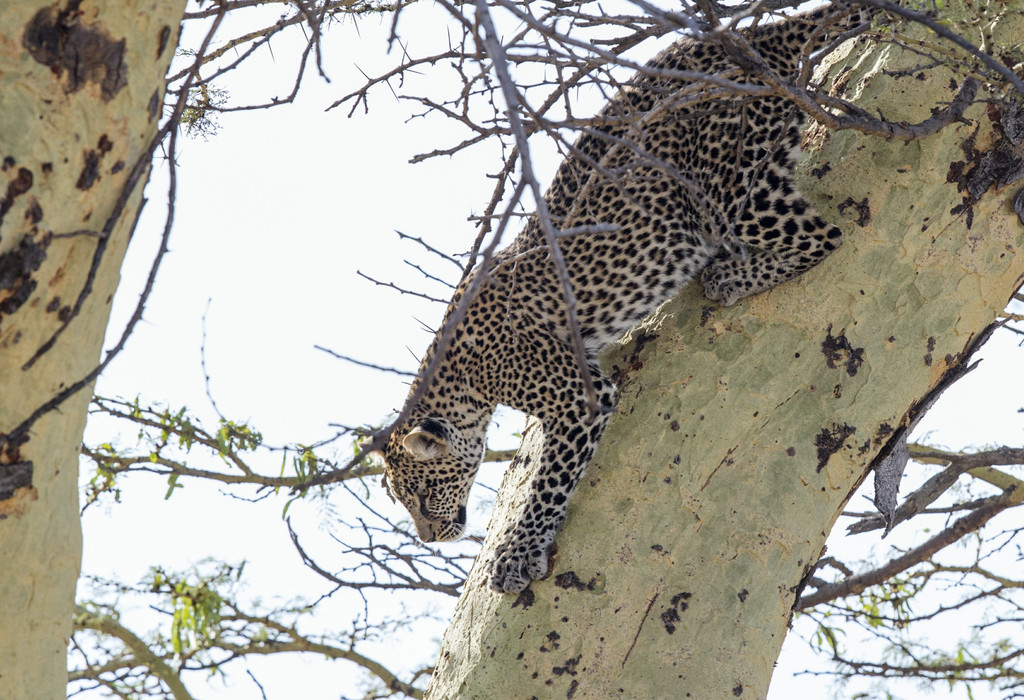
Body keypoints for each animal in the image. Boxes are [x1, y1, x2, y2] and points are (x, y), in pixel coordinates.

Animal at [374, 2, 864, 593]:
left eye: (423, 495)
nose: (430, 537)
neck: (461, 382)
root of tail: (752, 35)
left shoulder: (576, 400)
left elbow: (547, 485)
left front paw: (516, 555)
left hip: (723, 193)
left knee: (825, 236)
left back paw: (730, 276)